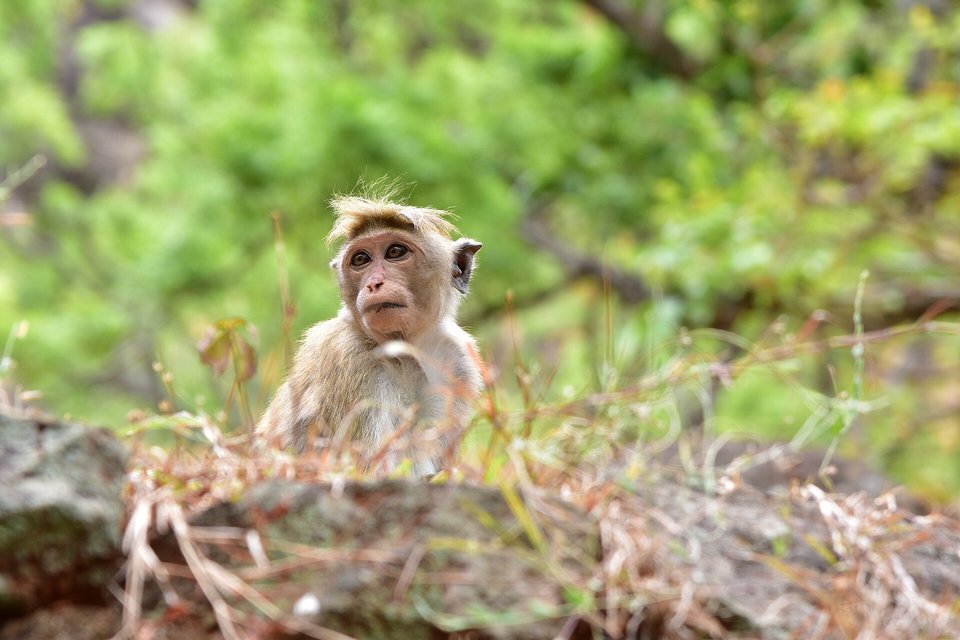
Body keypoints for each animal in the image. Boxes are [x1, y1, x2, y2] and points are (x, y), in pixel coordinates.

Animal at [256, 195, 483, 476]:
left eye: (395, 252)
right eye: (361, 259)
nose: (374, 284)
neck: (403, 352)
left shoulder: (459, 361)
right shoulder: (347, 358)